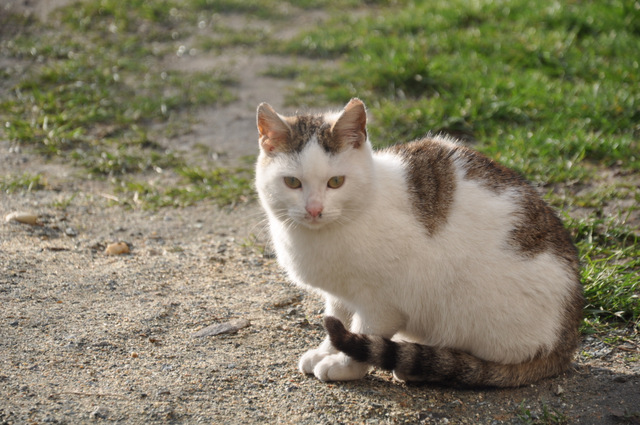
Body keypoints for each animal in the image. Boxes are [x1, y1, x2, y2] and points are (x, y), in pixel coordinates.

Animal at [255, 97, 584, 386]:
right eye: (292, 182)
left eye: (336, 182)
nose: (314, 210)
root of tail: (565, 344)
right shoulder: (340, 294)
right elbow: (338, 318)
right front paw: (326, 351)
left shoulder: (381, 302)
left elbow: (364, 331)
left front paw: (346, 365)